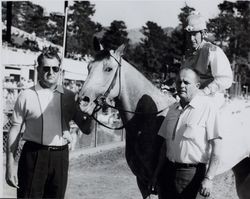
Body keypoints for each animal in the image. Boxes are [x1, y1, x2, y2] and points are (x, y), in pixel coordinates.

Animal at [79, 42, 250, 199]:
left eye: (108, 69)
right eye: (88, 67)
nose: (82, 101)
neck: (146, 121)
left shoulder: (161, 185)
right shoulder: (142, 182)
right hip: (242, 170)